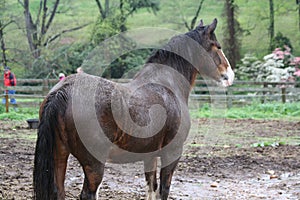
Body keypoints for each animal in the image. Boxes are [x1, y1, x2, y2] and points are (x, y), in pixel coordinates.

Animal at [32, 18, 234, 200]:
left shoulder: (150, 155)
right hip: (94, 163)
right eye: (217, 46)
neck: (168, 85)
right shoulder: (172, 153)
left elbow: (151, 189)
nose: (230, 75)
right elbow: (163, 191)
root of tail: (62, 91)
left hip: (60, 154)